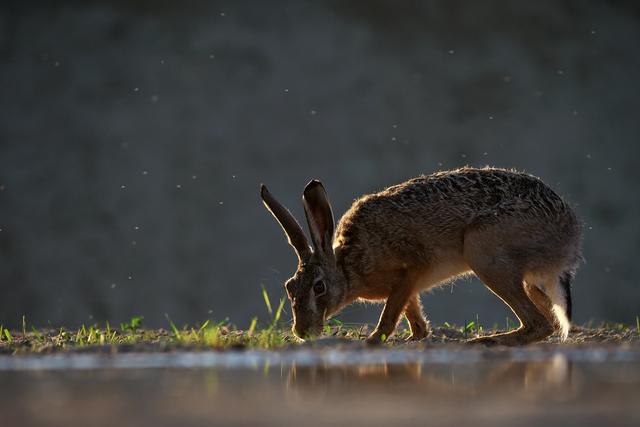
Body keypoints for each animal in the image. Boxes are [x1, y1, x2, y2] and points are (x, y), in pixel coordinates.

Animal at [260, 167, 582, 346]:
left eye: (319, 287)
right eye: (290, 287)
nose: (302, 332)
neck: (348, 267)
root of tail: (569, 237)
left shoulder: (411, 269)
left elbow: (391, 312)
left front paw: (374, 339)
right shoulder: (409, 287)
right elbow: (413, 314)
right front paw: (416, 336)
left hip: (483, 252)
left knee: (537, 324)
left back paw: (487, 341)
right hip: (521, 276)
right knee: (548, 319)